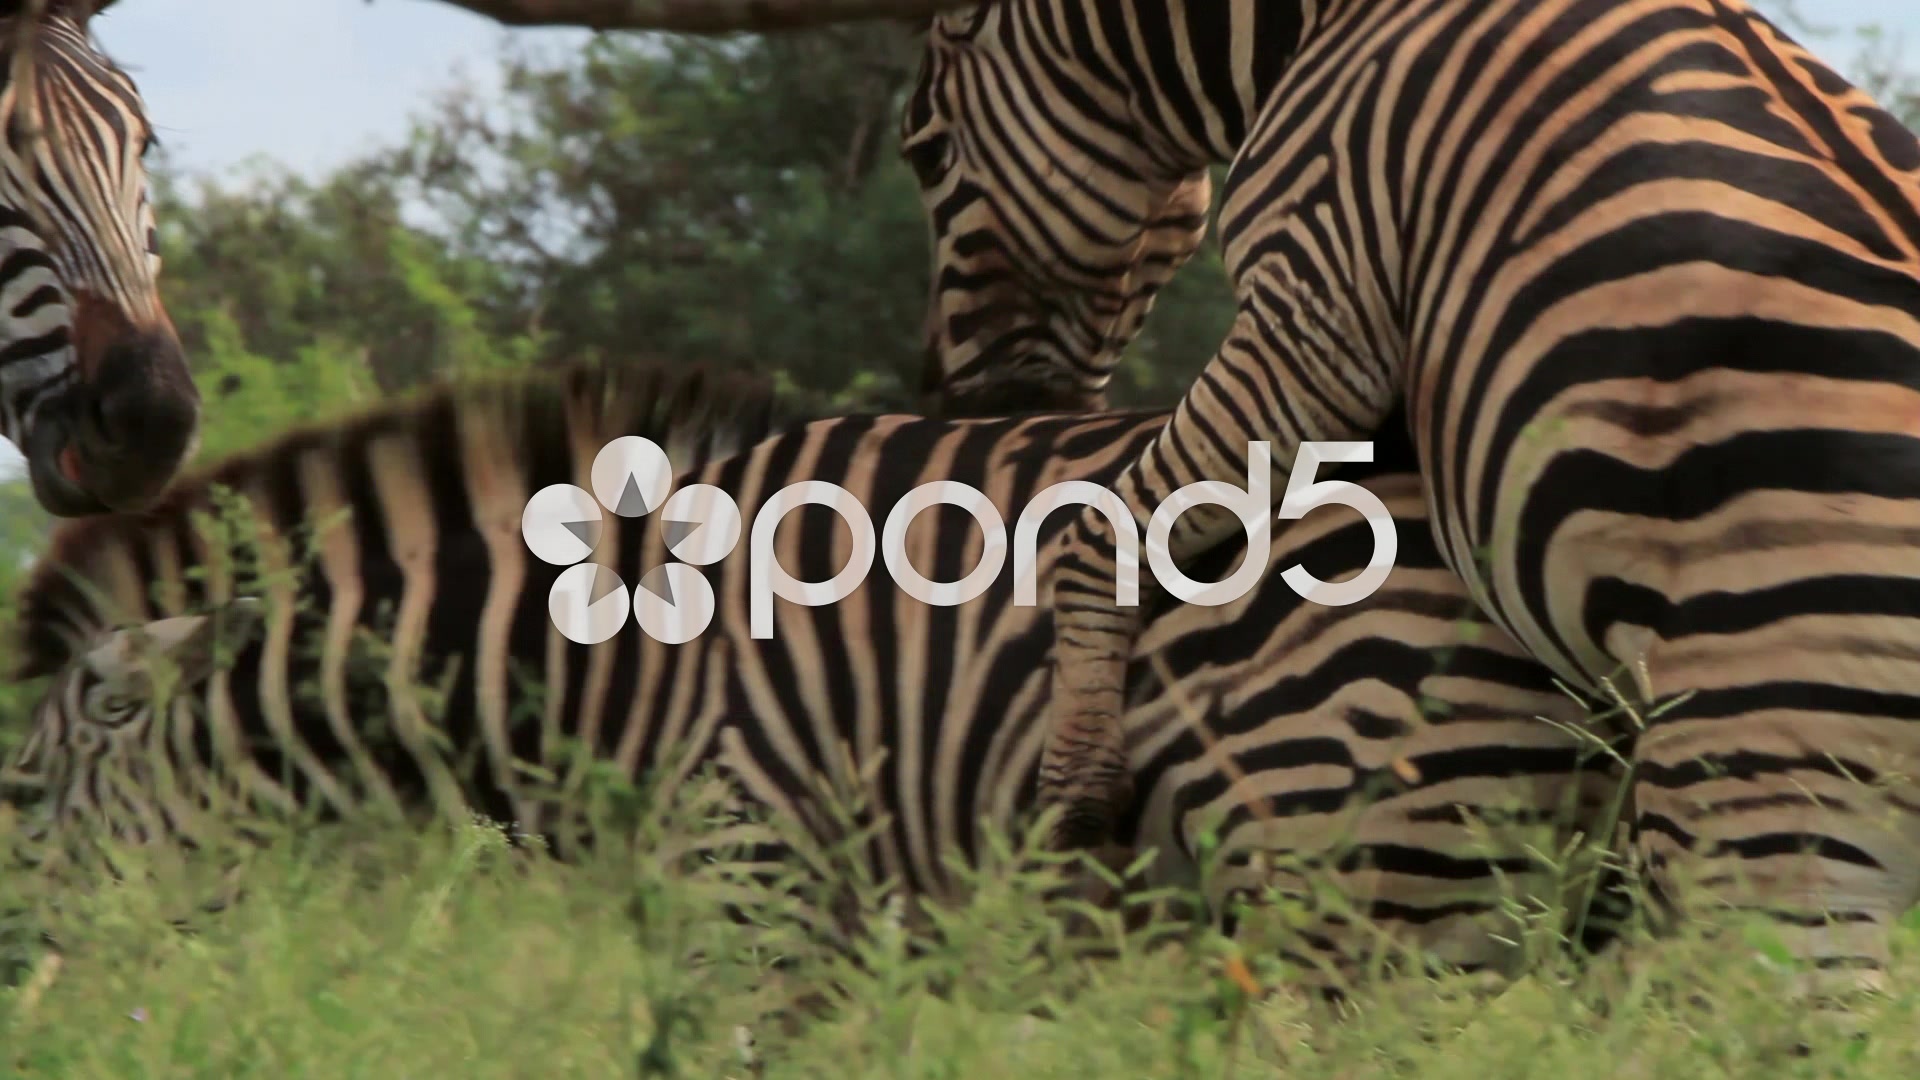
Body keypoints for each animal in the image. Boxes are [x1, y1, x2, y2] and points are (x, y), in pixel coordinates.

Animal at [2, 358, 1628, 995]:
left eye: (31, 789)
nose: (35, 986)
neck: (607, 662)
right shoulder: (850, 926)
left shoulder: (753, 883)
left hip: (1361, 875)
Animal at [899, 0, 1920, 1009]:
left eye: (926, 156)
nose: (954, 402)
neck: (1322, 26)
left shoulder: (1311, 308)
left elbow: (1102, 525)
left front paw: (1075, 780)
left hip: (1771, 805)